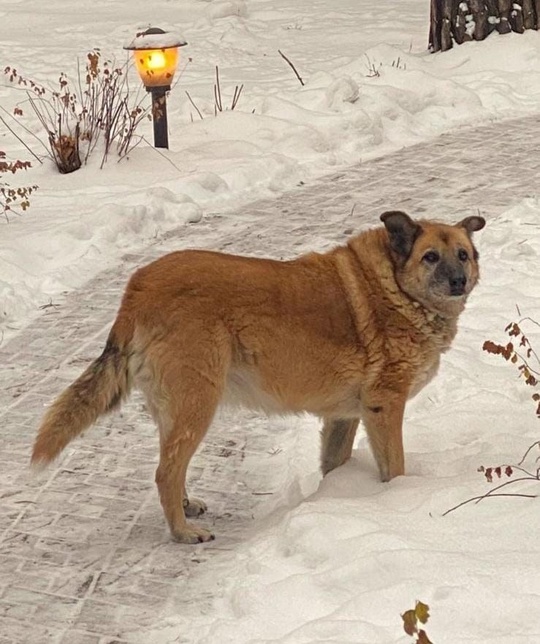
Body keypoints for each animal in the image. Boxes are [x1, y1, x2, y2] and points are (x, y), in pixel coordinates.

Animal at [30, 213, 486, 544]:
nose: (459, 281)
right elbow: (396, 468)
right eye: (431, 257)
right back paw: (182, 531)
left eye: (463, 254)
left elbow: (333, 463)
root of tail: (138, 288)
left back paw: (186, 507)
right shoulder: (384, 408)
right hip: (198, 403)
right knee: (164, 472)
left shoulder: (344, 416)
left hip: (174, 409)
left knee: (170, 464)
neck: (396, 288)